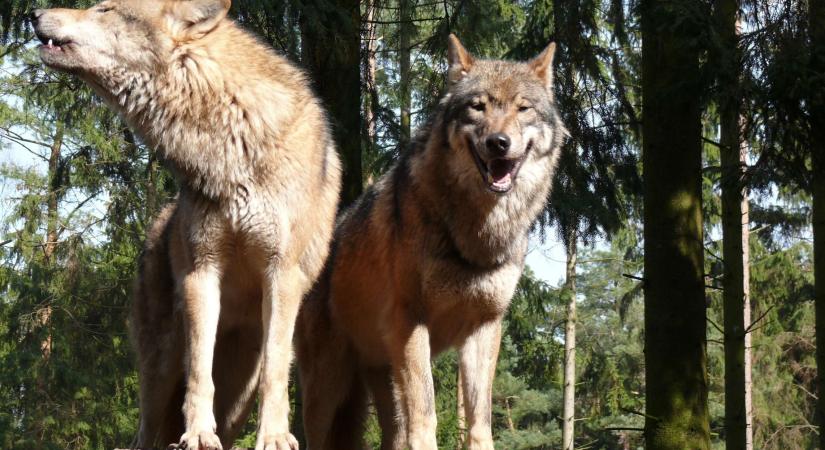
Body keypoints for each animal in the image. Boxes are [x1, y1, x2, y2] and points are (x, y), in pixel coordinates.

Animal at [32, 1, 342, 448]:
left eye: (105, 9)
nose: (35, 13)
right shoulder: (202, 271)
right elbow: (199, 369)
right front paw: (196, 433)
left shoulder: (281, 274)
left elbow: (276, 370)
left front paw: (274, 436)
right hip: (159, 368)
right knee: (146, 431)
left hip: (238, 396)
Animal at [296, 36, 568, 450]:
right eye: (478, 106)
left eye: (523, 108)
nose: (499, 143)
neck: (475, 234)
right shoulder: (412, 320)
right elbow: (426, 414)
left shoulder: (484, 326)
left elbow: (479, 420)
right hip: (326, 389)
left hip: (381, 381)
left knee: (393, 434)